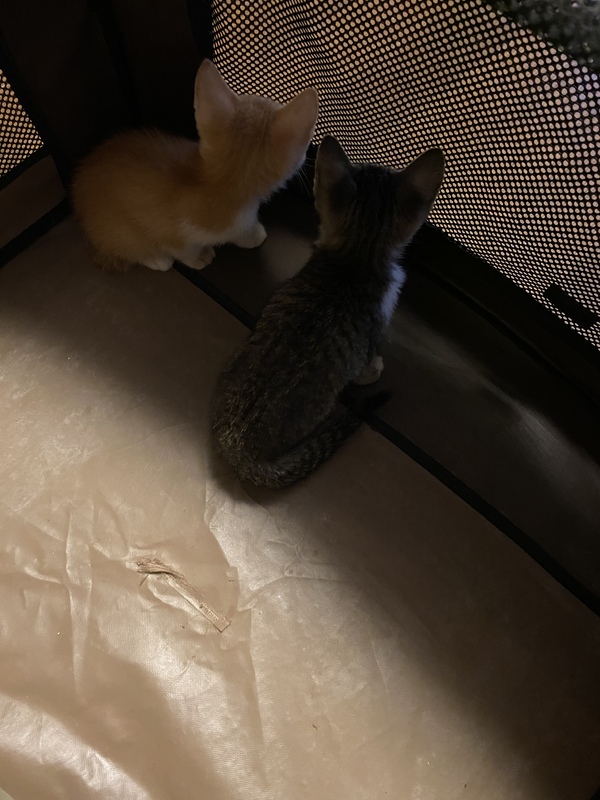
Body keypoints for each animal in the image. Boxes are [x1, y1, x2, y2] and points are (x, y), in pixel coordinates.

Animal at [71, 59, 319, 272]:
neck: (221, 184)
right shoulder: (170, 230)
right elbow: (180, 247)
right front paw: (199, 256)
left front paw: (248, 234)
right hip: (116, 230)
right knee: (129, 246)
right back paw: (156, 259)